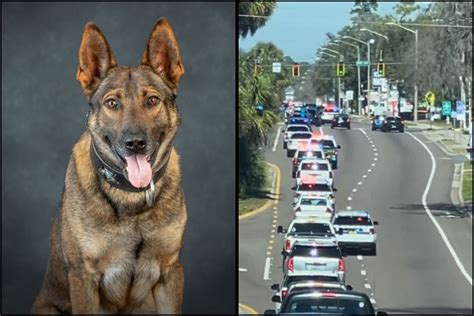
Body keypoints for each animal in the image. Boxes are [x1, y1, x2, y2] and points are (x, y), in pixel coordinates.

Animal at [30, 19, 187, 314]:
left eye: (152, 100)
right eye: (112, 103)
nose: (135, 143)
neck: (131, 198)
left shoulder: (170, 272)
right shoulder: (83, 278)